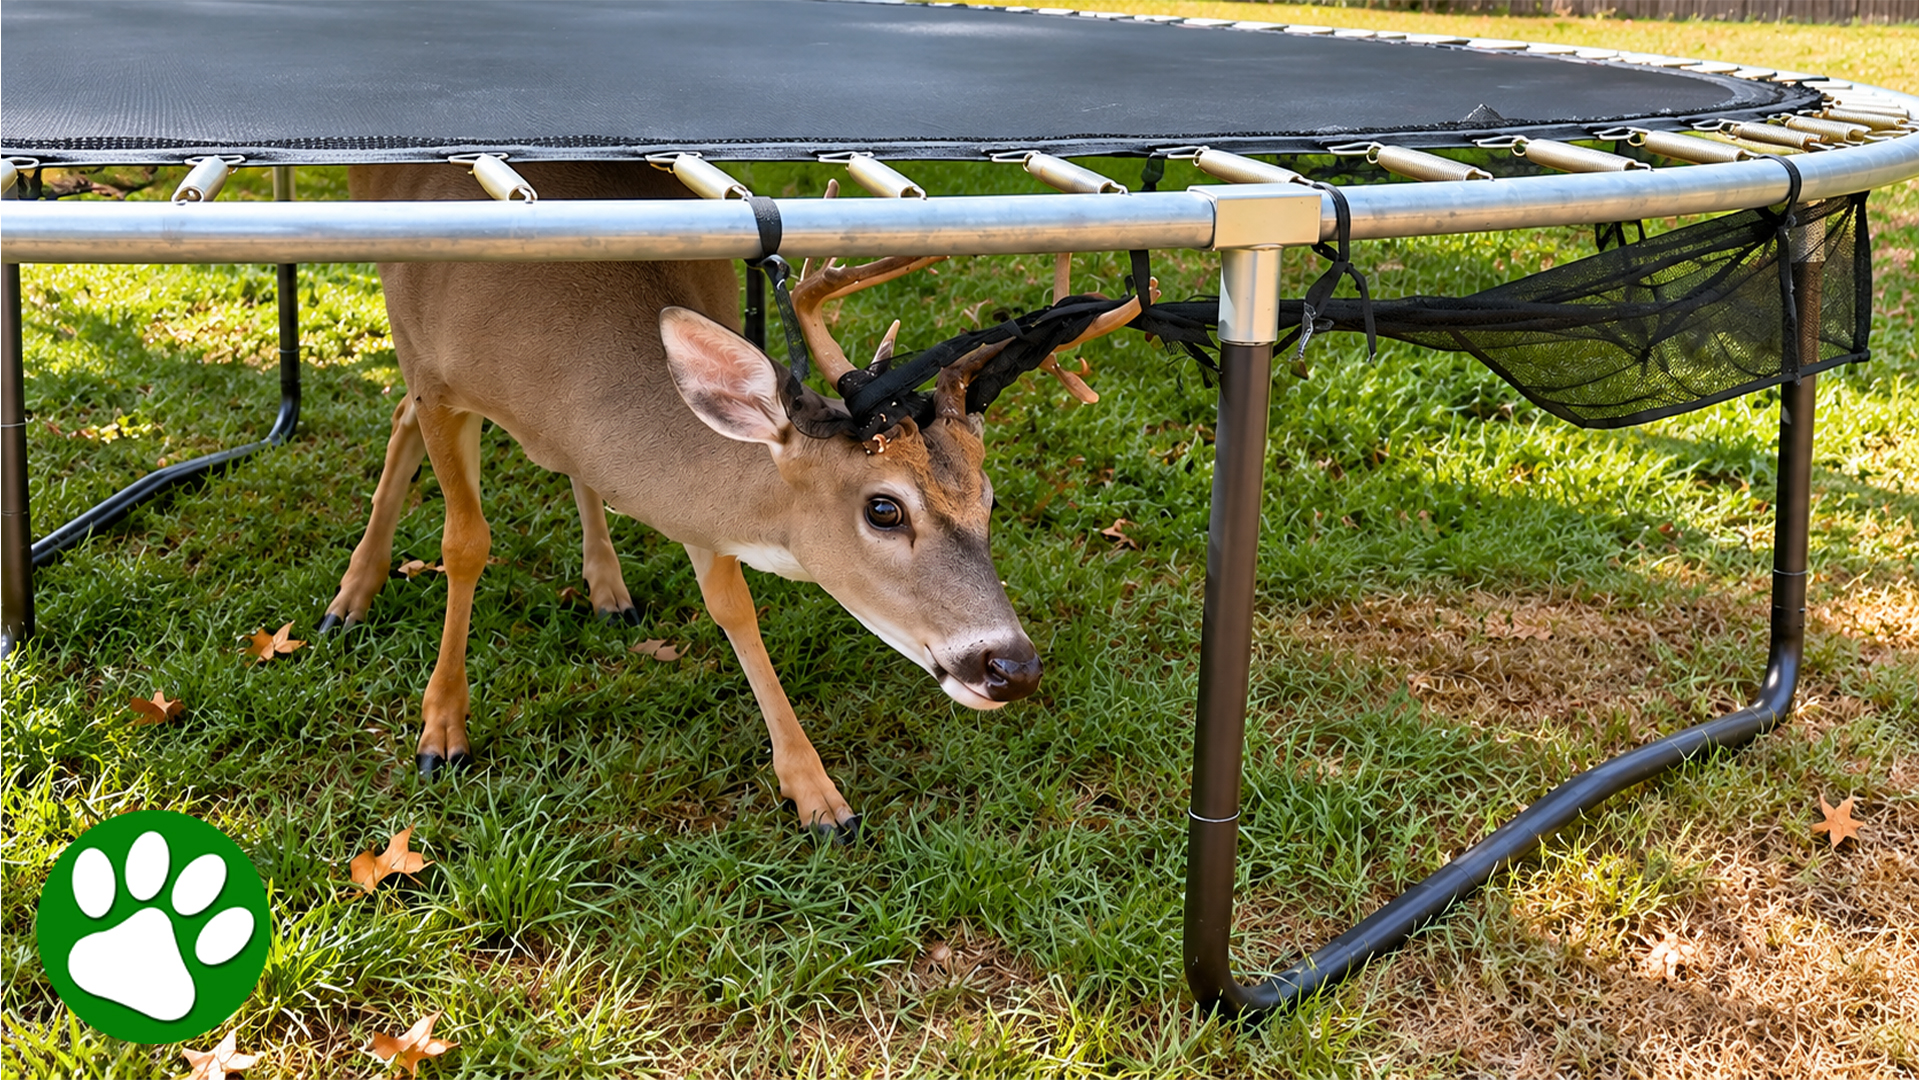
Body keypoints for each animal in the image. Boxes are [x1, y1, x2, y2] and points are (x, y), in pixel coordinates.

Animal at [318, 160, 1159, 841]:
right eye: (884, 509)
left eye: (988, 499)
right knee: (401, 421)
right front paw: (442, 730)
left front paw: (817, 794)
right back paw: (349, 598)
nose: (1012, 667)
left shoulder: (696, 504)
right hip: (407, 332)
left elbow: (731, 605)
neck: (549, 371)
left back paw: (607, 586)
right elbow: (465, 544)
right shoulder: (442, 383)